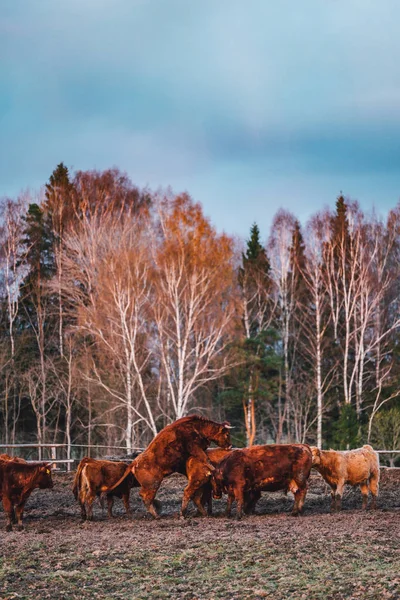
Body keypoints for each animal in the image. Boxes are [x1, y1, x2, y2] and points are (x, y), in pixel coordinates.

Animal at [104, 414, 233, 516]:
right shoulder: (194, 447)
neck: (196, 427)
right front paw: (213, 469)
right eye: (227, 434)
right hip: (154, 483)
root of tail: (134, 462)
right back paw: (156, 515)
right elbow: (206, 459)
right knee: (145, 496)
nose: (230, 446)